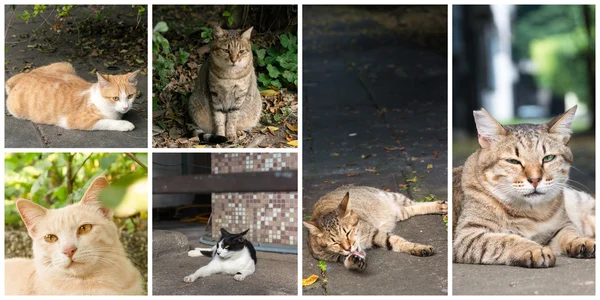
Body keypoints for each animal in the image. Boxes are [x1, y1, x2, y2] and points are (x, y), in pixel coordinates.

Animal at [6, 61, 139, 131]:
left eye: (130, 96)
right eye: (115, 98)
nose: (126, 107)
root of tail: (25, 76)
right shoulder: (77, 121)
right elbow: (107, 121)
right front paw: (125, 124)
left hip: (65, 64)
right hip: (17, 110)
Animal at [302, 186, 448, 270]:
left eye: (348, 233)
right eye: (335, 242)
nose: (348, 247)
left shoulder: (374, 233)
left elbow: (398, 242)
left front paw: (419, 248)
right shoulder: (334, 257)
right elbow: (347, 260)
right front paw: (354, 261)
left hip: (393, 197)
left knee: (415, 204)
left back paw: (440, 205)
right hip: (400, 212)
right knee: (411, 209)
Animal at [454, 106, 596, 268]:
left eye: (548, 158)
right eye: (513, 161)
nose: (535, 180)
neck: (530, 212)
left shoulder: (562, 226)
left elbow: (571, 233)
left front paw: (582, 241)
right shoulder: (466, 237)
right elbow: (505, 239)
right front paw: (534, 248)